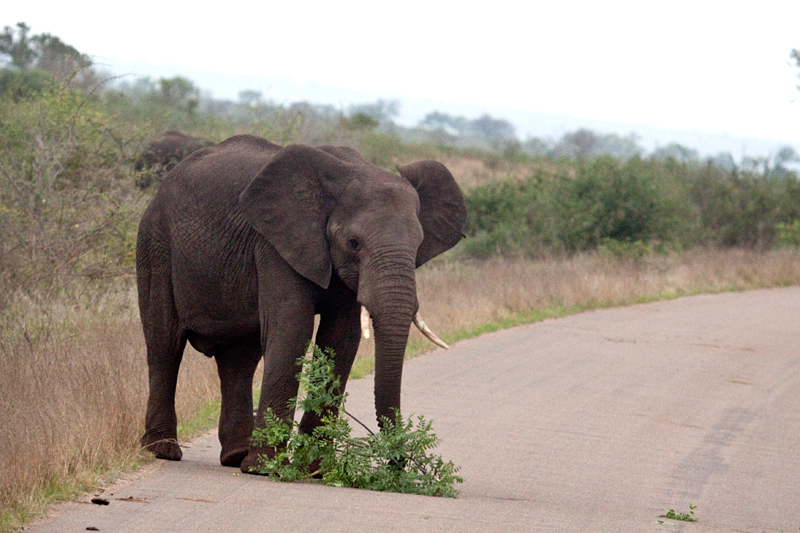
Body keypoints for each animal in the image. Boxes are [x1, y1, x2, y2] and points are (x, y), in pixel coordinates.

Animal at [134, 135, 466, 472]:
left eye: (418, 245)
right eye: (353, 243)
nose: (397, 464)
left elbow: (340, 339)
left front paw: (315, 469)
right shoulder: (275, 243)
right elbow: (292, 329)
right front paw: (267, 468)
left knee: (239, 358)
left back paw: (235, 457)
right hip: (154, 242)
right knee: (164, 343)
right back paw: (163, 449)